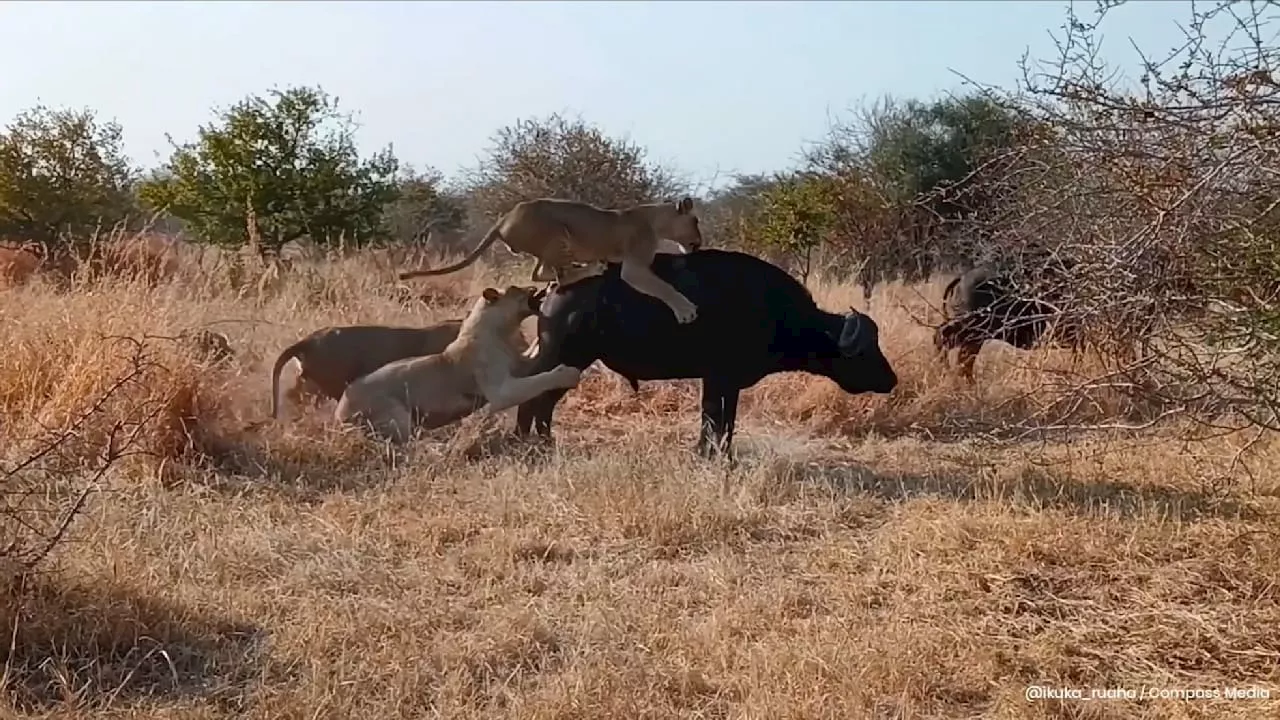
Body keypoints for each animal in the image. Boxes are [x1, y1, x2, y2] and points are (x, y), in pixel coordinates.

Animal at [514, 249, 896, 456]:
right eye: (864, 352)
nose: (892, 380)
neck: (773, 309)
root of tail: (555, 289)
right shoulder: (717, 379)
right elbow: (713, 420)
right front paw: (710, 455)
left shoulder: (729, 384)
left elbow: (725, 422)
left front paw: (720, 455)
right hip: (565, 359)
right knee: (534, 399)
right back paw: (533, 441)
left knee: (541, 402)